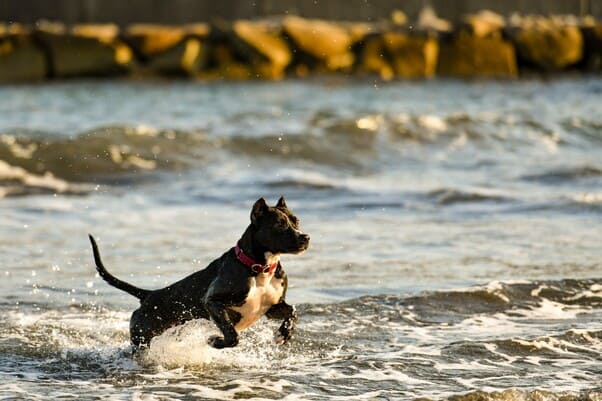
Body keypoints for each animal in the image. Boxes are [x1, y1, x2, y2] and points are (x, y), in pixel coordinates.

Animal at [89, 196, 310, 346]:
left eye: (296, 221)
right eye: (280, 224)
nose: (305, 237)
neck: (259, 266)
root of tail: (149, 295)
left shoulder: (272, 307)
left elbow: (293, 311)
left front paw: (284, 334)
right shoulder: (212, 302)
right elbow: (232, 335)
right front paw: (216, 341)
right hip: (143, 336)